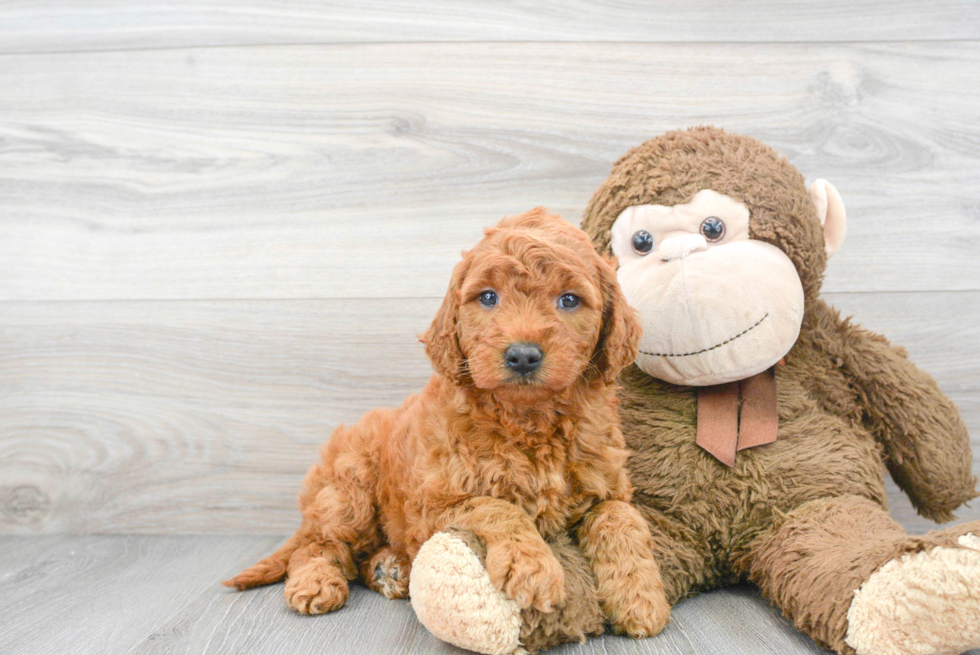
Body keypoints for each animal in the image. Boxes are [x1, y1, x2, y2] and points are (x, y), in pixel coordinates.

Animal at [224, 211, 668, 640]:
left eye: (570, 300)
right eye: (488, 297)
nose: (523, 356)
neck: (528, 420)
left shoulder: (607, 485)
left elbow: (620, 518)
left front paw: (640, 596)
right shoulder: (434, 503)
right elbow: (497, 506)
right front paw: (532, 566)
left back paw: (389, 569)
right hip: (349, 490)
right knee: (319, 543)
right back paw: (316, 582)